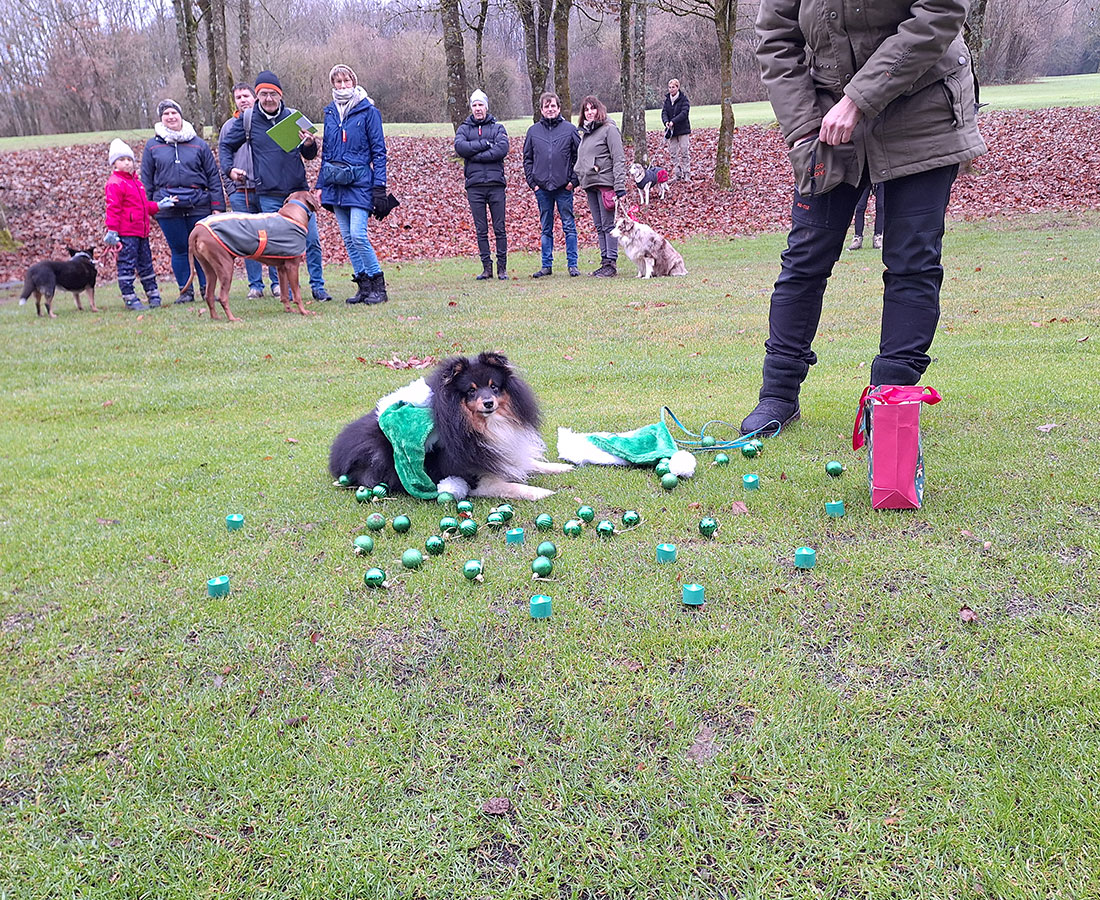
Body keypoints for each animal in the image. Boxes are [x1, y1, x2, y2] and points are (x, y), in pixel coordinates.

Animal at [327, 349, 576, 501]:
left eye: (494, 386)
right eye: (471, 391)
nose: (488, 403)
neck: (484, 426)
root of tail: (335, 452)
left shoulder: (503, 452)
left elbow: (529, 462)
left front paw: (560, 467)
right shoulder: (476, 478)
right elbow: (512, 486)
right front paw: (541, 492)